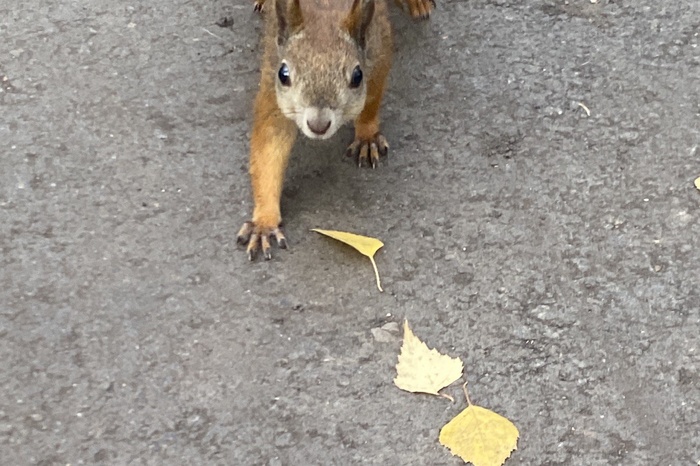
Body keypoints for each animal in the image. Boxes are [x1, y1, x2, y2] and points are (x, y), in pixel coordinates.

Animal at [237, 0, 432, 260]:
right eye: (283, 74)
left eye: (357, 76)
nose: (318, 125)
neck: (325, 10)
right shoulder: (272, 84)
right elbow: (269, 146)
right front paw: (264, 222)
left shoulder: (378, 49)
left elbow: (371, 98)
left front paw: (366, 135)